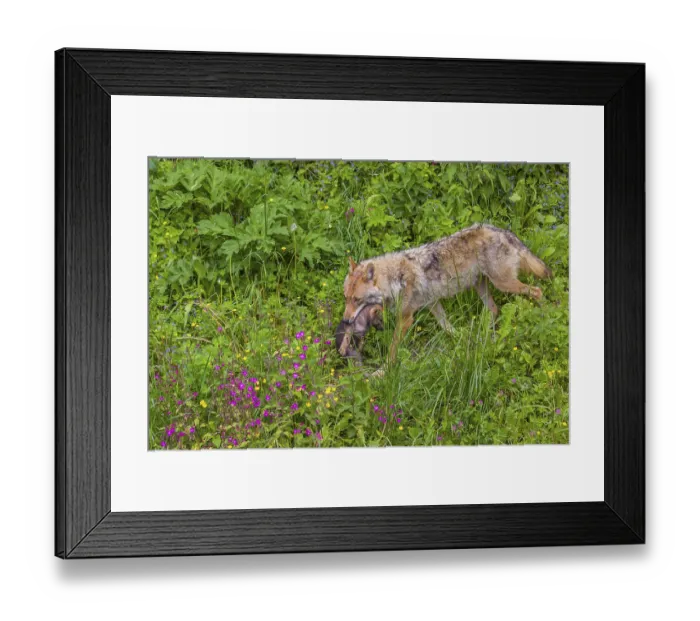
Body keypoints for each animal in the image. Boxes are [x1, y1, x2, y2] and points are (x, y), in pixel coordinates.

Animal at [340, 223, 553, 362]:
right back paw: (485, 336)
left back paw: (544, 316)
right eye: (346, 298)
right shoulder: (433, 304)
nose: (345, 320)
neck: (396, 279)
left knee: (537, 291)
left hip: (503, 284)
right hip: (482, 286)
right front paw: (460, 339)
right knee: (494, 309)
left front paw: (385, 371)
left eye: (357, 299)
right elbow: (447, 326)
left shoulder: (406, 319)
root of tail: (502, 231)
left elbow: (392, 348)